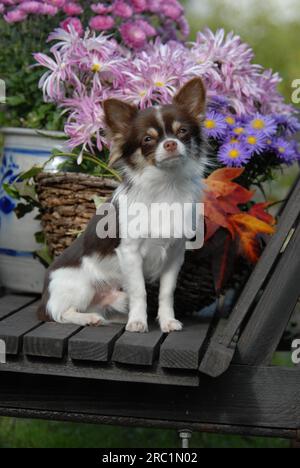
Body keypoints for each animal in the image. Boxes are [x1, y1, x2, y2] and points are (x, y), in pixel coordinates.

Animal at [38, 77, 207, 332]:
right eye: (147, 139)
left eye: (182, 132)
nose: (170, 144)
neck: (166, 186)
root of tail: (44, 296)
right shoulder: (130, 253)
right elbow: (139, 291)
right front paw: (137, 322)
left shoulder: (174, 255)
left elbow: (166, 293)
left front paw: (167, 320)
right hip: (80, 286)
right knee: (60, 313)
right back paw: (88, 318)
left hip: (116, 296)